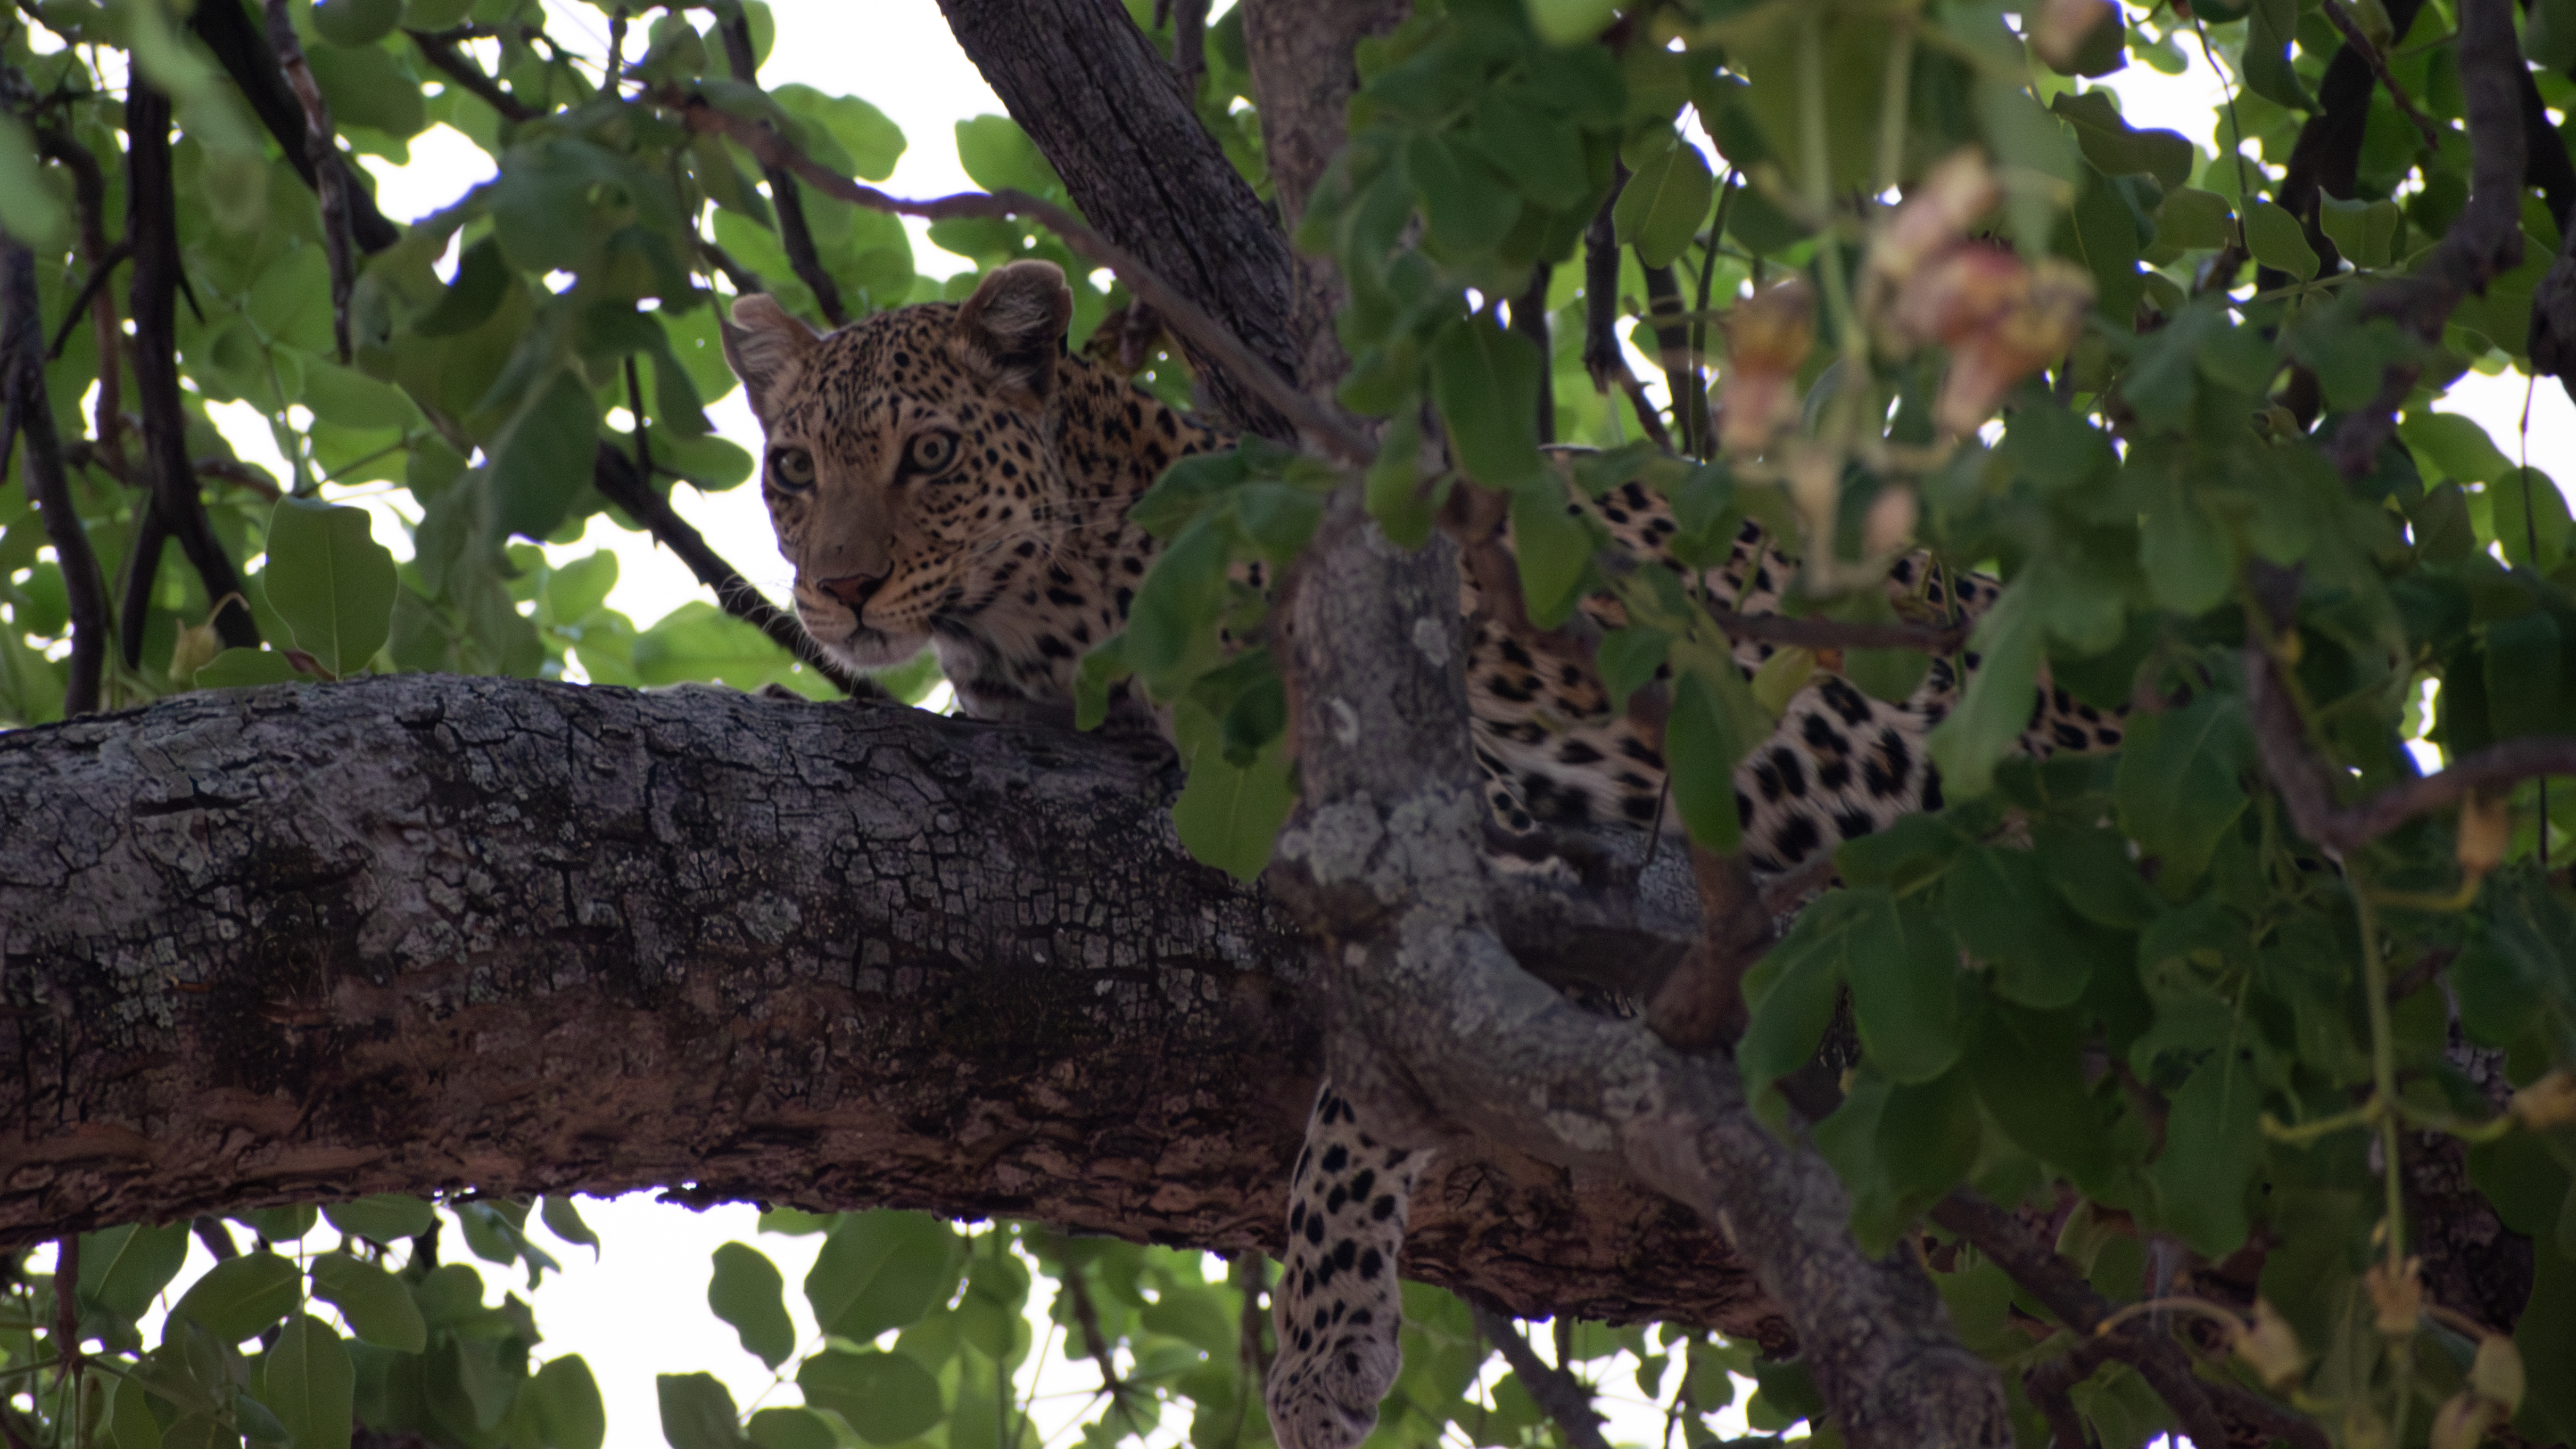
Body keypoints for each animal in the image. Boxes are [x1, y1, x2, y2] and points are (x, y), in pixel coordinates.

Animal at [721, 259, 2126, 1449]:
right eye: (793, 466)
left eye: (931, 453)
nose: (838, 589)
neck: (1039, 615)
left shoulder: (1455, 816)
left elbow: (1372, 1072)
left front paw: (1325, 1333)